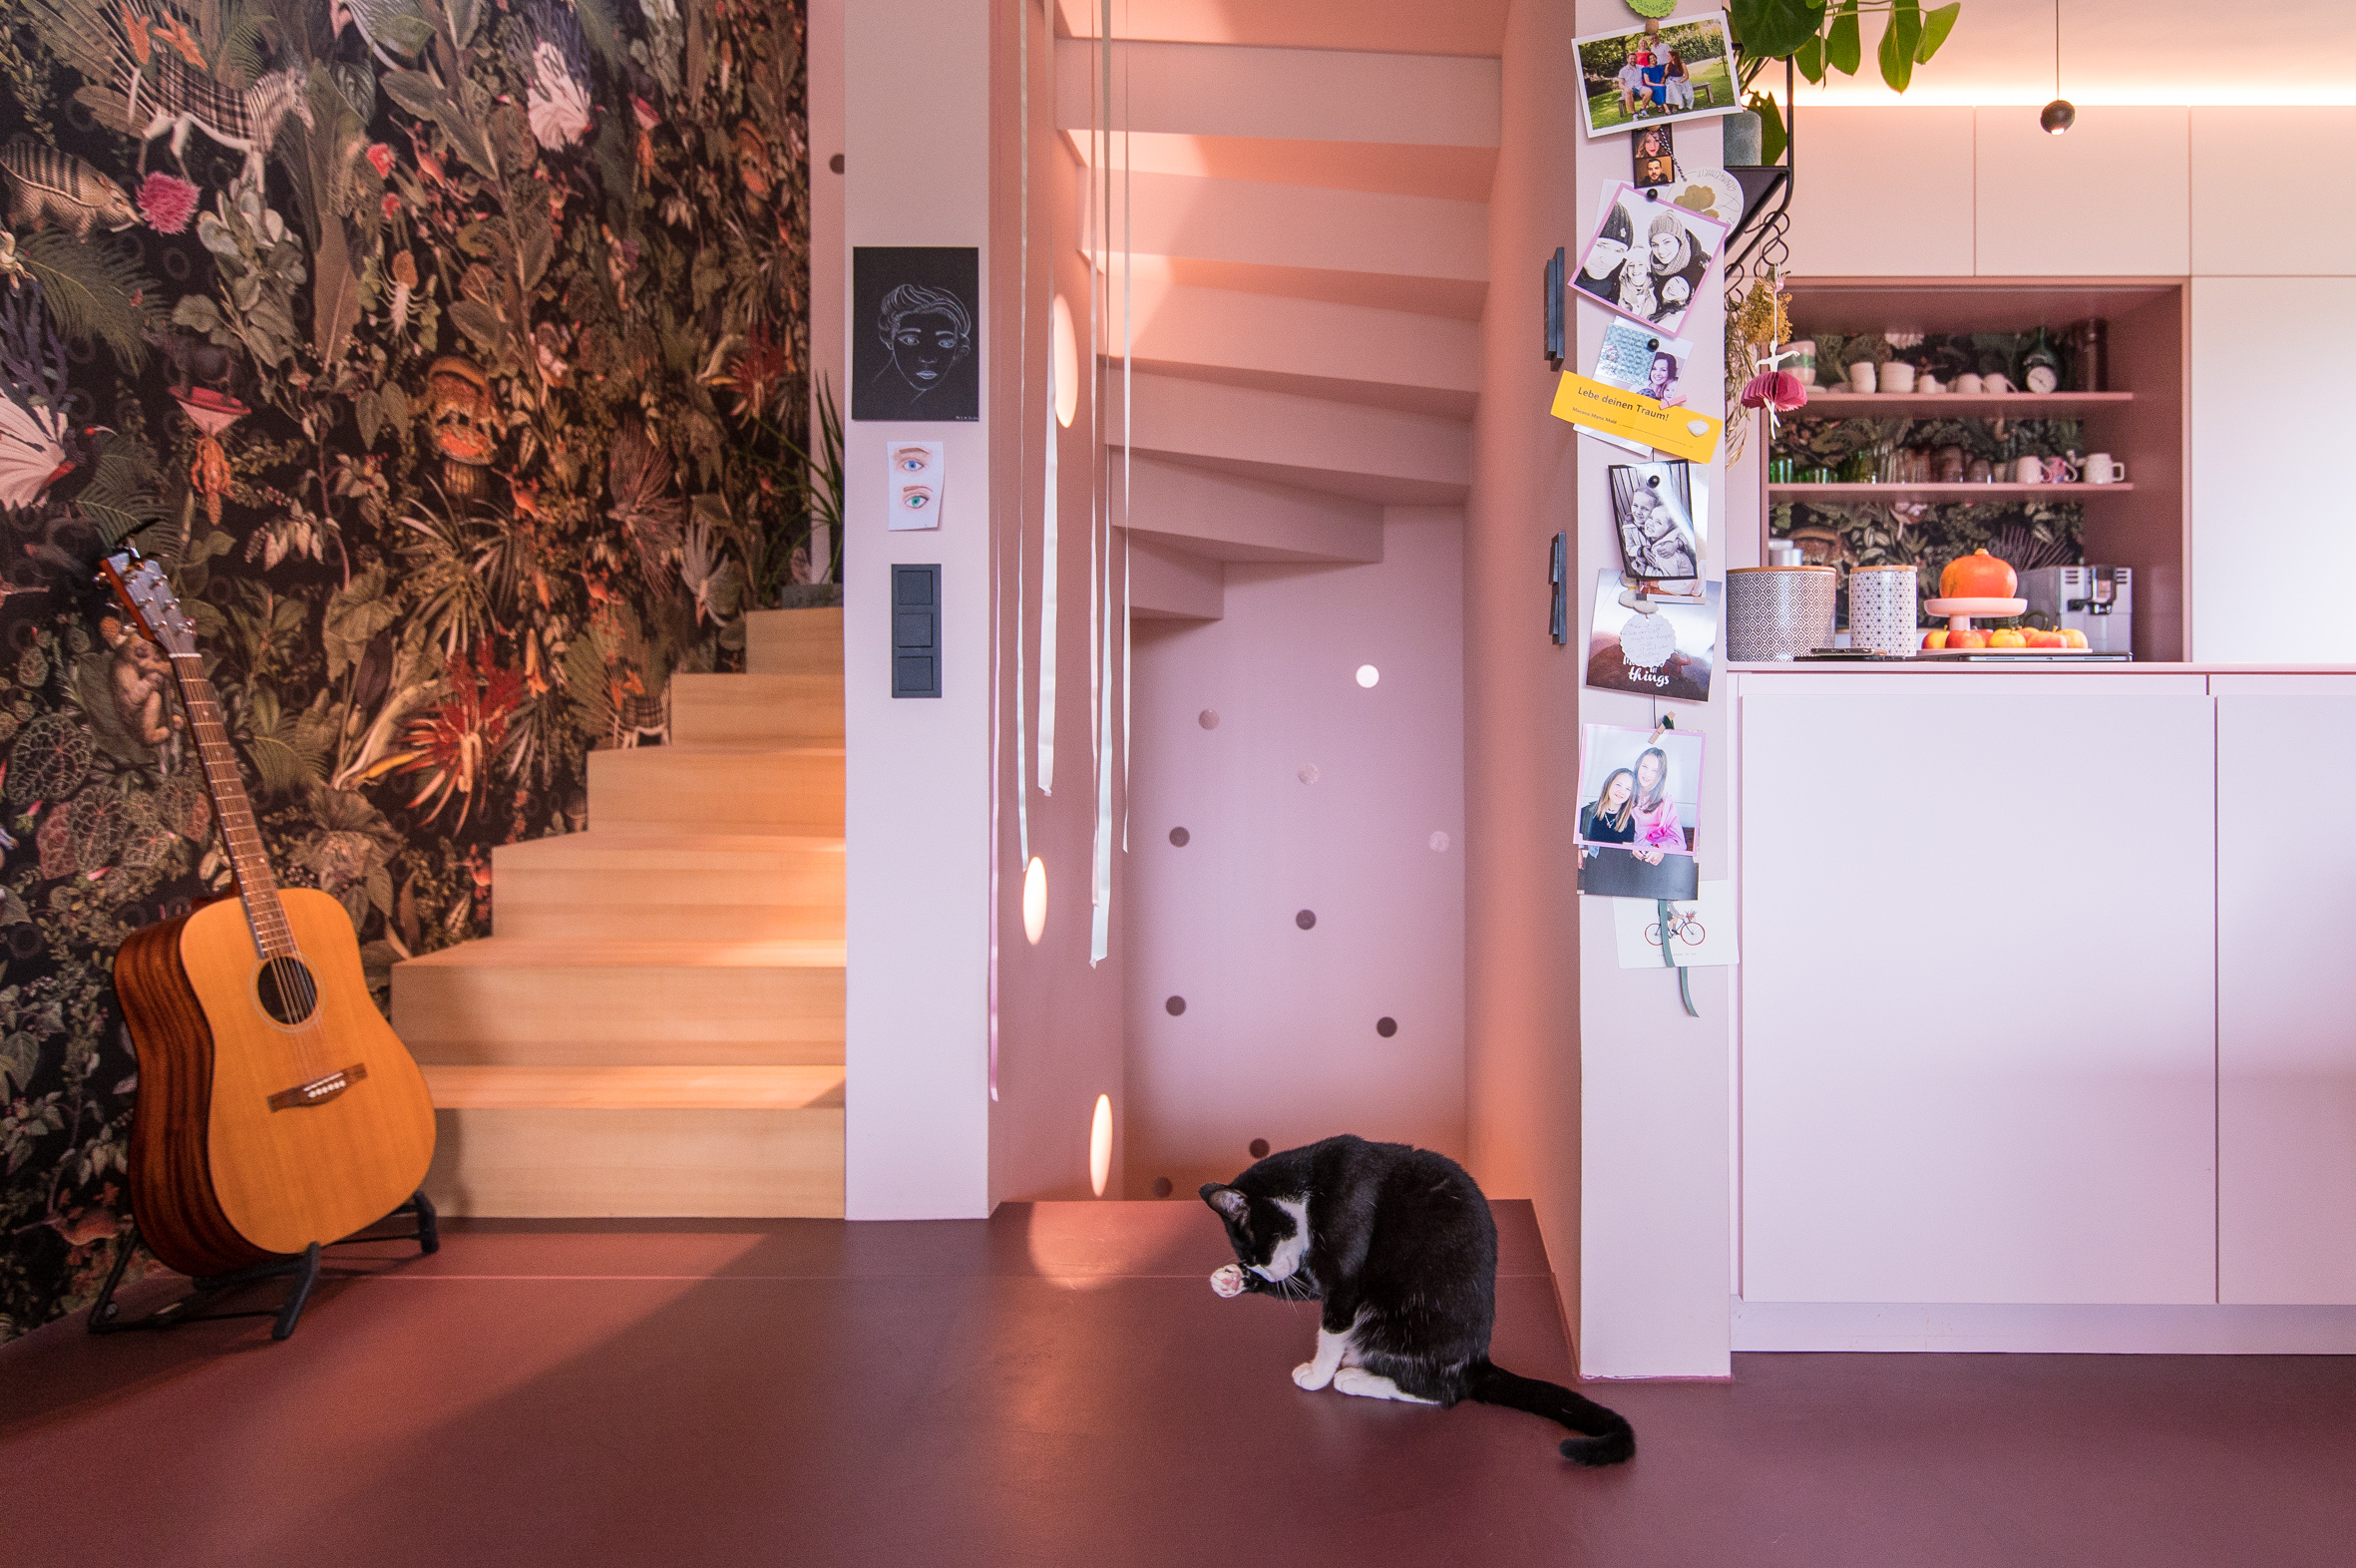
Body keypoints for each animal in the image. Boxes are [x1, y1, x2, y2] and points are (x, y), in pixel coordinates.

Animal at [1202, 1134, 1635, 1467]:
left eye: (1256, 1249)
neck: (1309, 1190)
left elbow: (1331, 1326)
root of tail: (1476, 1363)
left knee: (1442, 1393)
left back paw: (1354, 1377)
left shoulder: (1346, 1263)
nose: (1264, 1271)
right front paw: (1229, 1279)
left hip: (1394, 1322)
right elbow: (1307, 1288)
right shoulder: (1315, 1272)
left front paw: (1317, 1373)